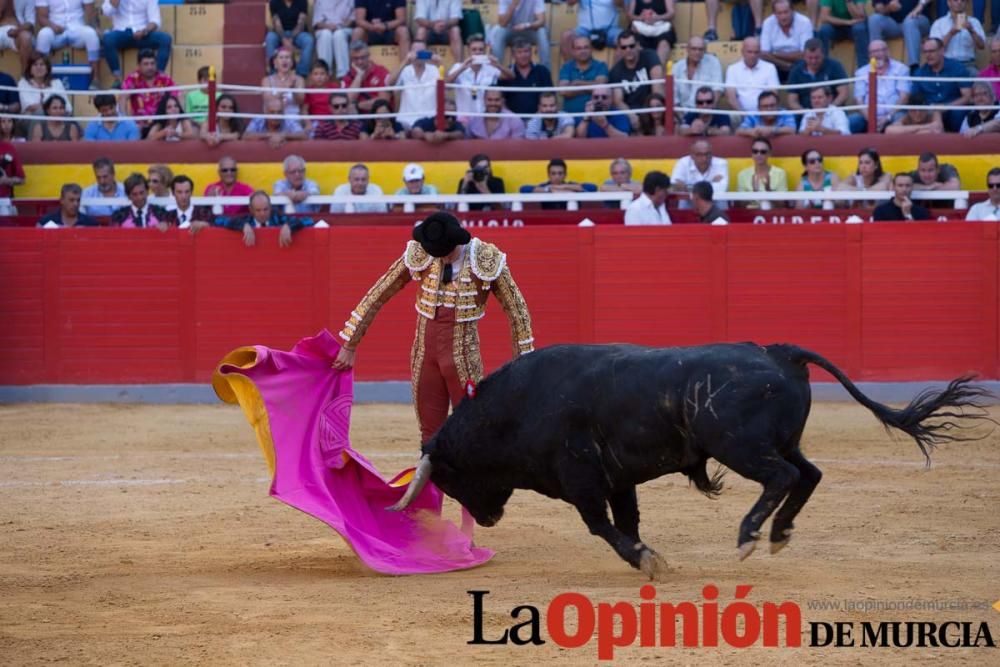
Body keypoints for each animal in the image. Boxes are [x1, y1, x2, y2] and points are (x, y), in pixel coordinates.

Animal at [386, 344, 988, 580]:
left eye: (451, 478)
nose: (488, 520)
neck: (517, 406)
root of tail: (778, 353)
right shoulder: (617, 479)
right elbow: (626, 520)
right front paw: (652, 560)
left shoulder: (582, 481)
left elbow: (602, 526)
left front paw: (645, 560)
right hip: (779, 442)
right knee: (809, 473)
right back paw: (779, 533)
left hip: (740, 446)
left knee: (784, 476)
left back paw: (749, 535)